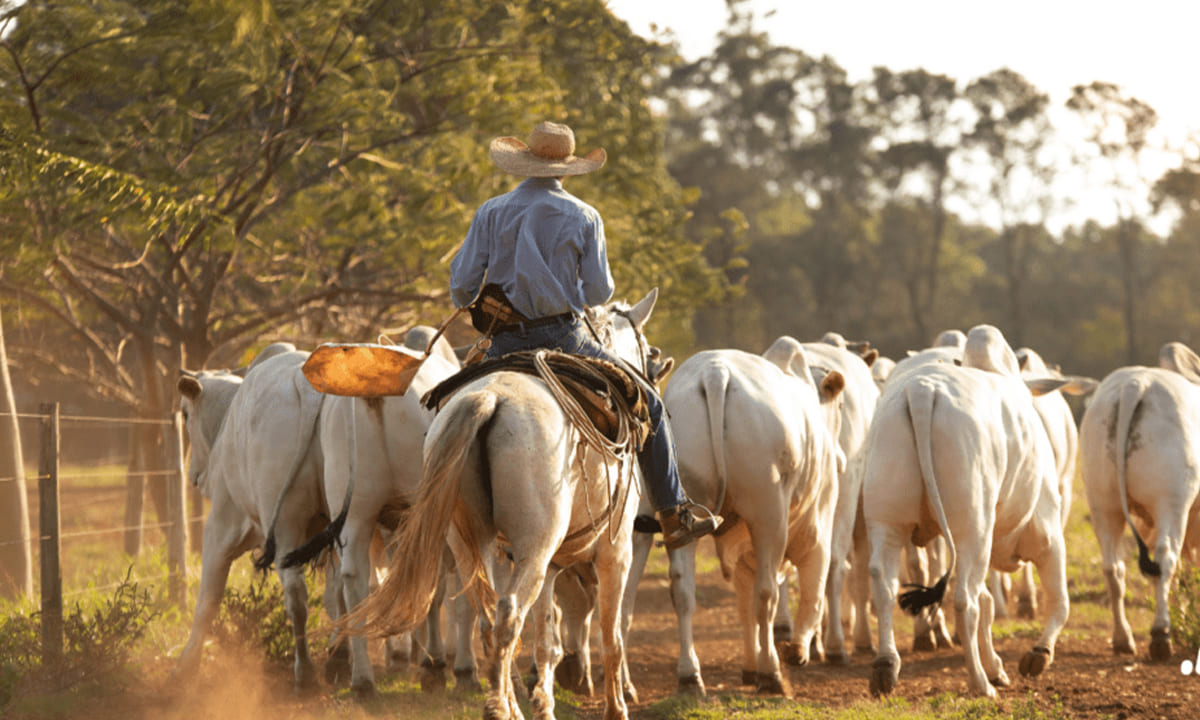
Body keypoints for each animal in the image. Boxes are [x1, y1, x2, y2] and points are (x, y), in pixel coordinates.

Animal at [343, 289, 667, 720]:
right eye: (647, 349)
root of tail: (488, 398)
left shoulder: (552, 564)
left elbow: (546, 637)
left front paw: (544, 703)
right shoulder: (615, 553)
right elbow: (609, 634)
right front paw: (616, 708)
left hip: (470, 541)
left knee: (488, 618)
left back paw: (505, 704)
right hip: (532, 547)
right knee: (509, 614)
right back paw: (500, 707)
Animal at [643, 340, 849, 696]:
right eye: (838, 407)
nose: (841, 460)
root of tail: (715, 372)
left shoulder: (740, 552)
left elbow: (744, 604)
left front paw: (749, 665)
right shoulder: (817, 530)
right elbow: (813, 591)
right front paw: (797, 649)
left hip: (682, 511)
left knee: (683, 591)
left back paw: (690, 675)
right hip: (769, 517)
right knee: (768, 593)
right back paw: (772, 673)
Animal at [864, 324, 1070, 696]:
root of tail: (921, 391)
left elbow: (990, 601)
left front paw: (997, 667)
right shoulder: (1048, 536)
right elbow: (1059, 603)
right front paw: (1037, 655)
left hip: (887, 521)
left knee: (885, 586)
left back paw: (885, 668)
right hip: (973, 528)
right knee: (965, 601)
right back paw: (979, 683)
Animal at [1080, 340, 1200, 662]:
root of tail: (1136, 384)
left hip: (1103, 504)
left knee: (1113, 568)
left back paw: (1123, 638)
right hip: (1171, 503)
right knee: (1165, 558)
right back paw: (1161, 635)